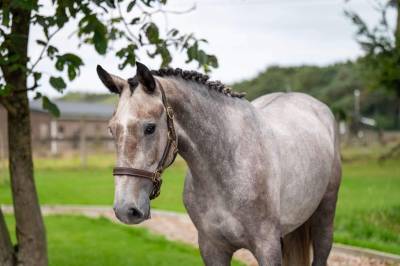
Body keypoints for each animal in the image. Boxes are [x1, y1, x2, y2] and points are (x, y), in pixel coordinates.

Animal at [96, 61, 340, 264]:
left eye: (150, 128)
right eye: (111, 129)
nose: (126, 209)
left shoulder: (267, 247)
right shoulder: (212, 248)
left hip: (324, 218)